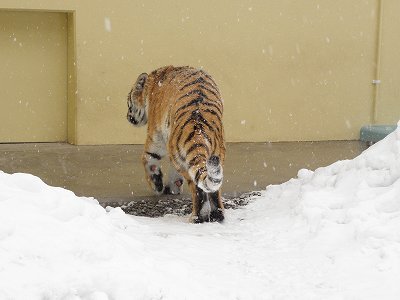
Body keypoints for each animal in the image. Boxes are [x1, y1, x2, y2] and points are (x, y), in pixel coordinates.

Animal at [126, 65, 225, 223]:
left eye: (128, 103)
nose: (128, 117)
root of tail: (198, 128)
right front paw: (173, 188)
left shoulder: (156, 138)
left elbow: (148, 160)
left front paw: (158, 186)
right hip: (216, 155)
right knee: (214, 188)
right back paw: (217, 215)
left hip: (181, 158)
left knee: (197, 189)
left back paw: (197, 217)